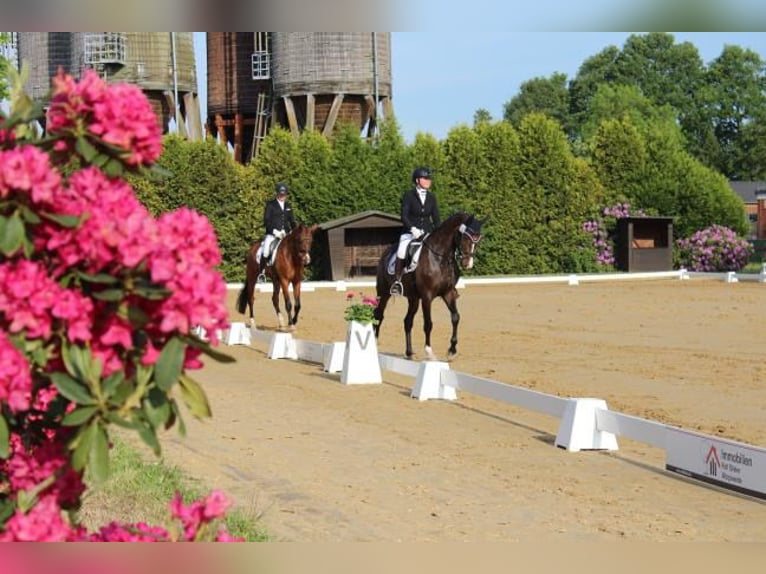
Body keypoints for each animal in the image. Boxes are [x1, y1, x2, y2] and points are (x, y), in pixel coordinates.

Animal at [376, 214, 488, 362]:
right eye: (464, 237)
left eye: (478, 240)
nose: (467, 264)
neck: (440, 258)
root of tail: (386, 253)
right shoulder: (427, 297)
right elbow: (428, 323)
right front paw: (429, 352)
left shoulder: (448, 293)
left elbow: (455, 317)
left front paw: (452, 350)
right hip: (383, 293)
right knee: (379, 315)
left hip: (413, 299)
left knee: (407, 321)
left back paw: (409, 353)